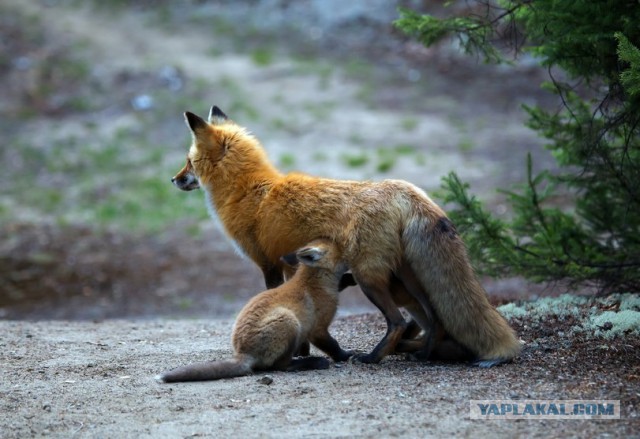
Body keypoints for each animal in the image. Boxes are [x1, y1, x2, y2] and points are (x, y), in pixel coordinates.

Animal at [158, 241, 352, 382]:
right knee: (281, 366)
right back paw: (312, 362)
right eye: (342, 248)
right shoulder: (318, 329)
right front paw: (348, 356)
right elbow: (333, 345)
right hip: (289, 321)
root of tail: (243, 353)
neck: (314, 284)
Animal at [172, 106, 524, 368]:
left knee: (398, 321)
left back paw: (373, 358)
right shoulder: (290, 262)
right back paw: (424, 354)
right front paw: (302, 350)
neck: (250, 190)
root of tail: (403, 188)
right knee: (433, 316)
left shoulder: (268, 264)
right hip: (404, 277)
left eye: (189, 161)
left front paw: (302, 353)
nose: (174, 179)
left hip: (370, 277)